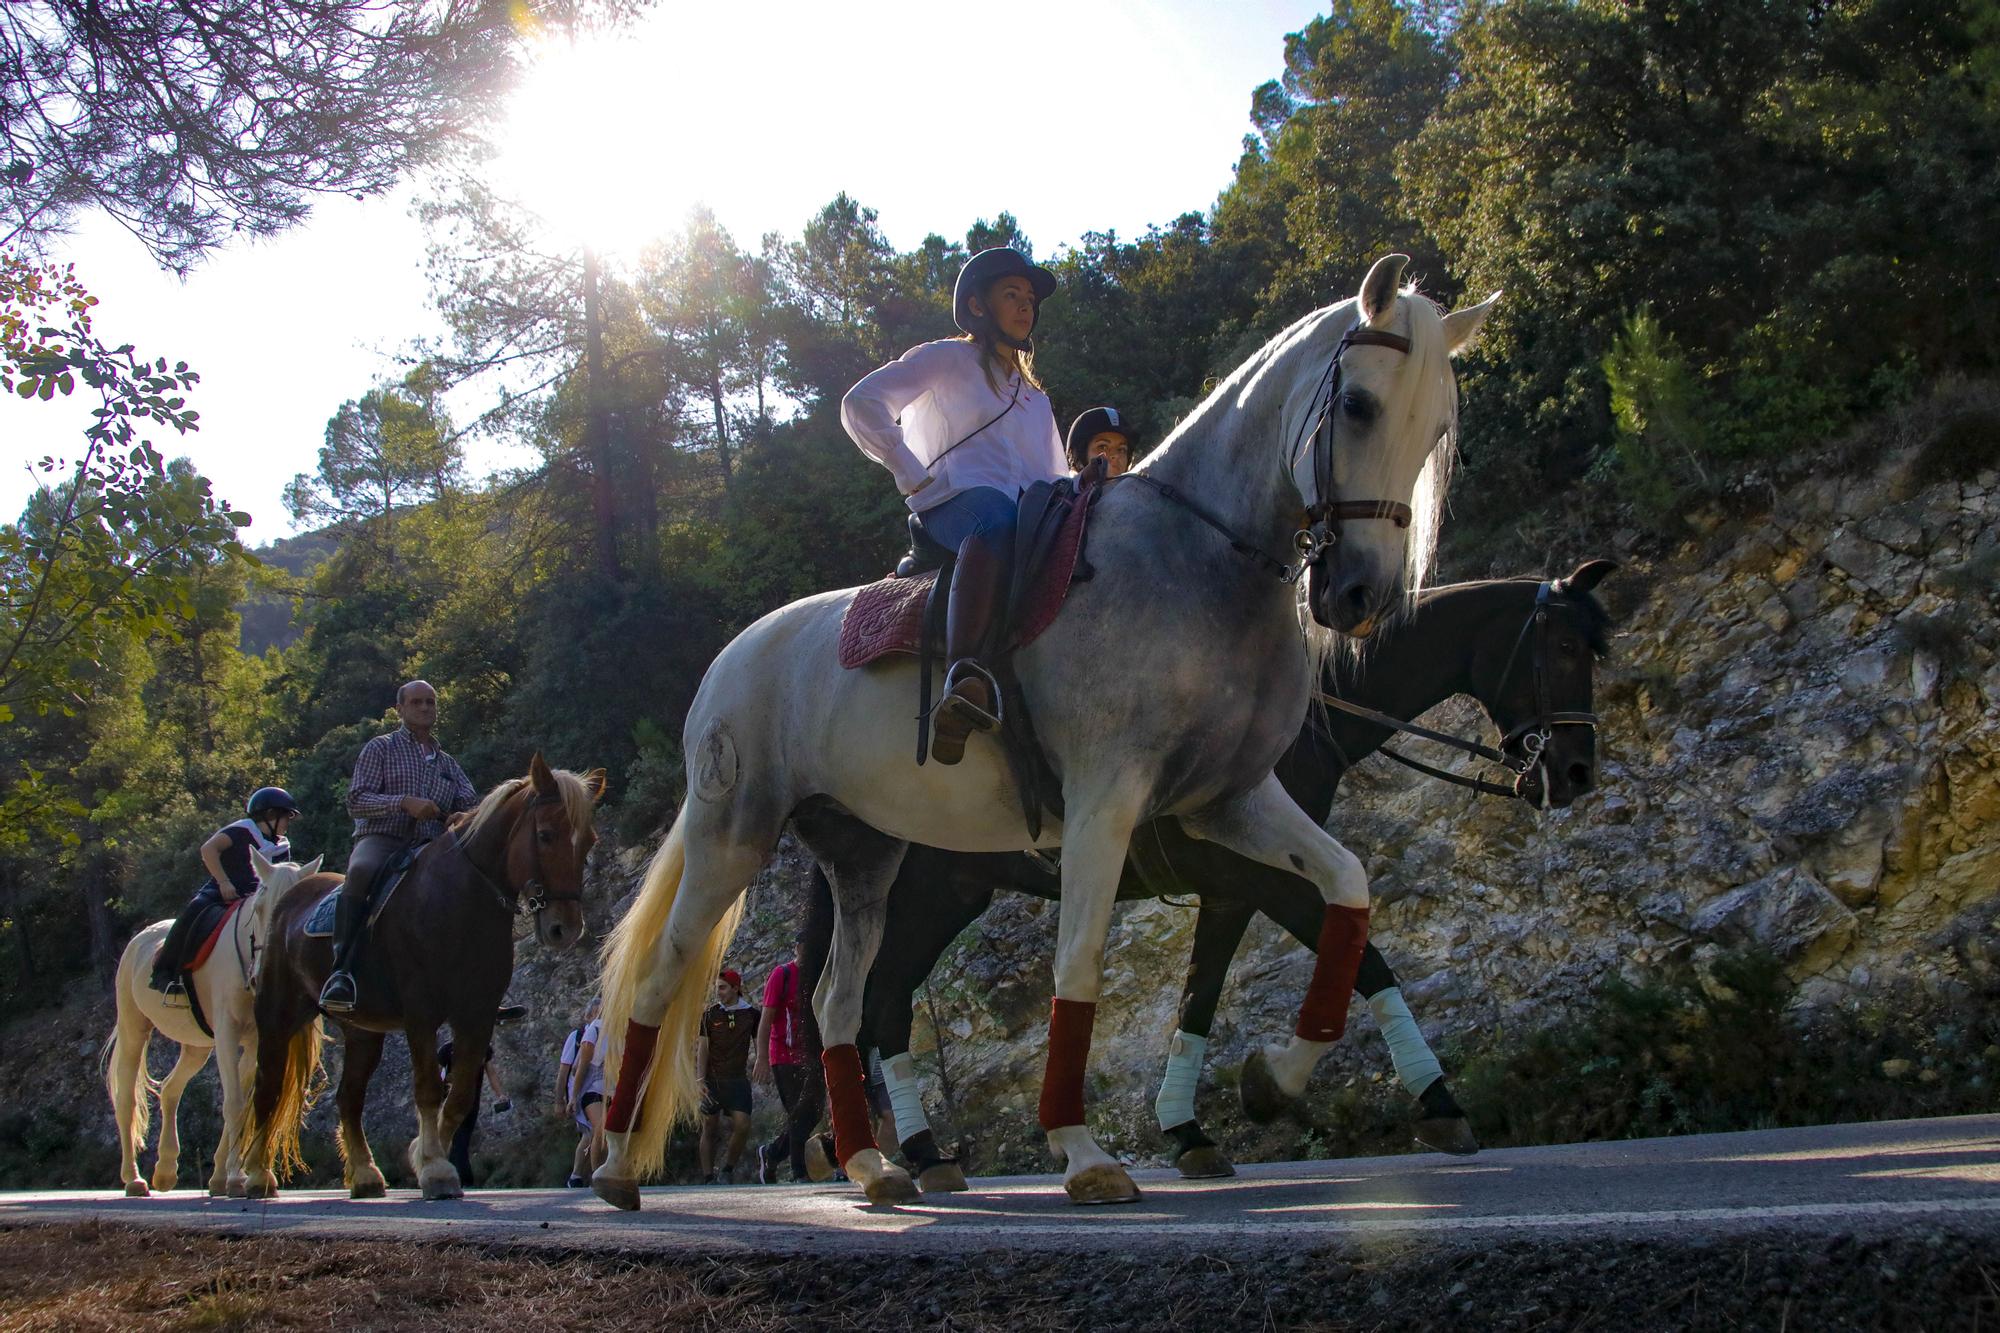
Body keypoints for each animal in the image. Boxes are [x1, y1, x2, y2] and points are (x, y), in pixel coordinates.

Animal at [105, 852, 322, 1192]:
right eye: (260, 909)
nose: (264, 973)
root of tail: (141, 938)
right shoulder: (227, 1035)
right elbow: (233, 1103)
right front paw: (235, 1176)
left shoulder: (255, 1041)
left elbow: (248, 1103)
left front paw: (230, 1175)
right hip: (133, 1028)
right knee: (126, 1099)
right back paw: (134, 1179)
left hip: (196, 1048)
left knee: (170, 1089)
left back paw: (165, 1171)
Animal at [243, 752, 600, 1200]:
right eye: (546, 835)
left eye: (589, 842)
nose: (564, 928)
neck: (459, 899)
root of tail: (288, 899)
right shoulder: (421, 1013)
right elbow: (429, 1088)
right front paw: (435, 1170)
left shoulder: (476, 1015)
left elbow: (459, 1094)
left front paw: (428, 1158)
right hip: (278, 1016)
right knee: (267, 1089)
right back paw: (257, 1176)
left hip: (363, 1032)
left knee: (348, 1098)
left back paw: (365, 1176)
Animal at [588, 254, 1488, 1208]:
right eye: (1357, 405)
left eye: (1437, 429)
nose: (1359, 596)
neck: (1199, 563)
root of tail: (729, 660)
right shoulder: (1106, 804)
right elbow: (1080, 965)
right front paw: (1083, 1149)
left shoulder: (1232, 803)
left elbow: (1348, 893)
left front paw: (1274, 1079)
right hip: (733, 834)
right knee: (663, 978)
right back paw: (617, 1166)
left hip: (863, 859)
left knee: (840, 1003)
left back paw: (874, 1164)